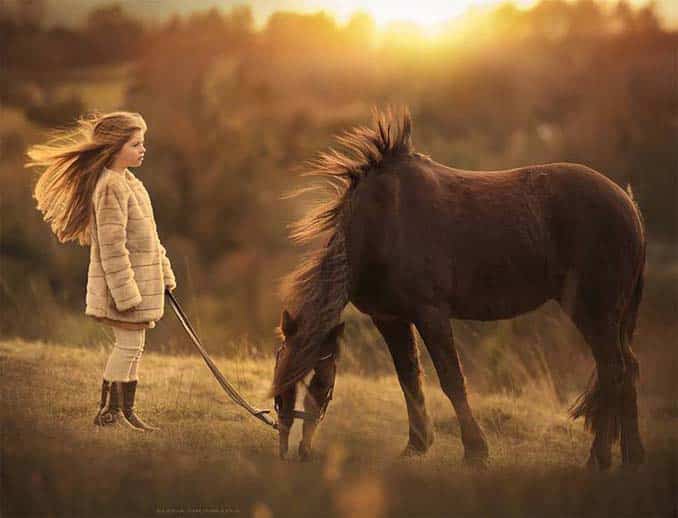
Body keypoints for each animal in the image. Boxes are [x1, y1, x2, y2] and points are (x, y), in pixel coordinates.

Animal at [270, 109, 648, 472]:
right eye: (279, 393)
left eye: (316, 382)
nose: (293, 453)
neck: (382, 223)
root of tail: (628, 205)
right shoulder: (390, 318)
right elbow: (409, 378)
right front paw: (416, 445)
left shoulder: (431, 315)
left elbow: (451, 379)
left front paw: (475, 451)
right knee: (627, 370)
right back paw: (632, 457)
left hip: (593, 313)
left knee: (614, 370)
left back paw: (598, 458)